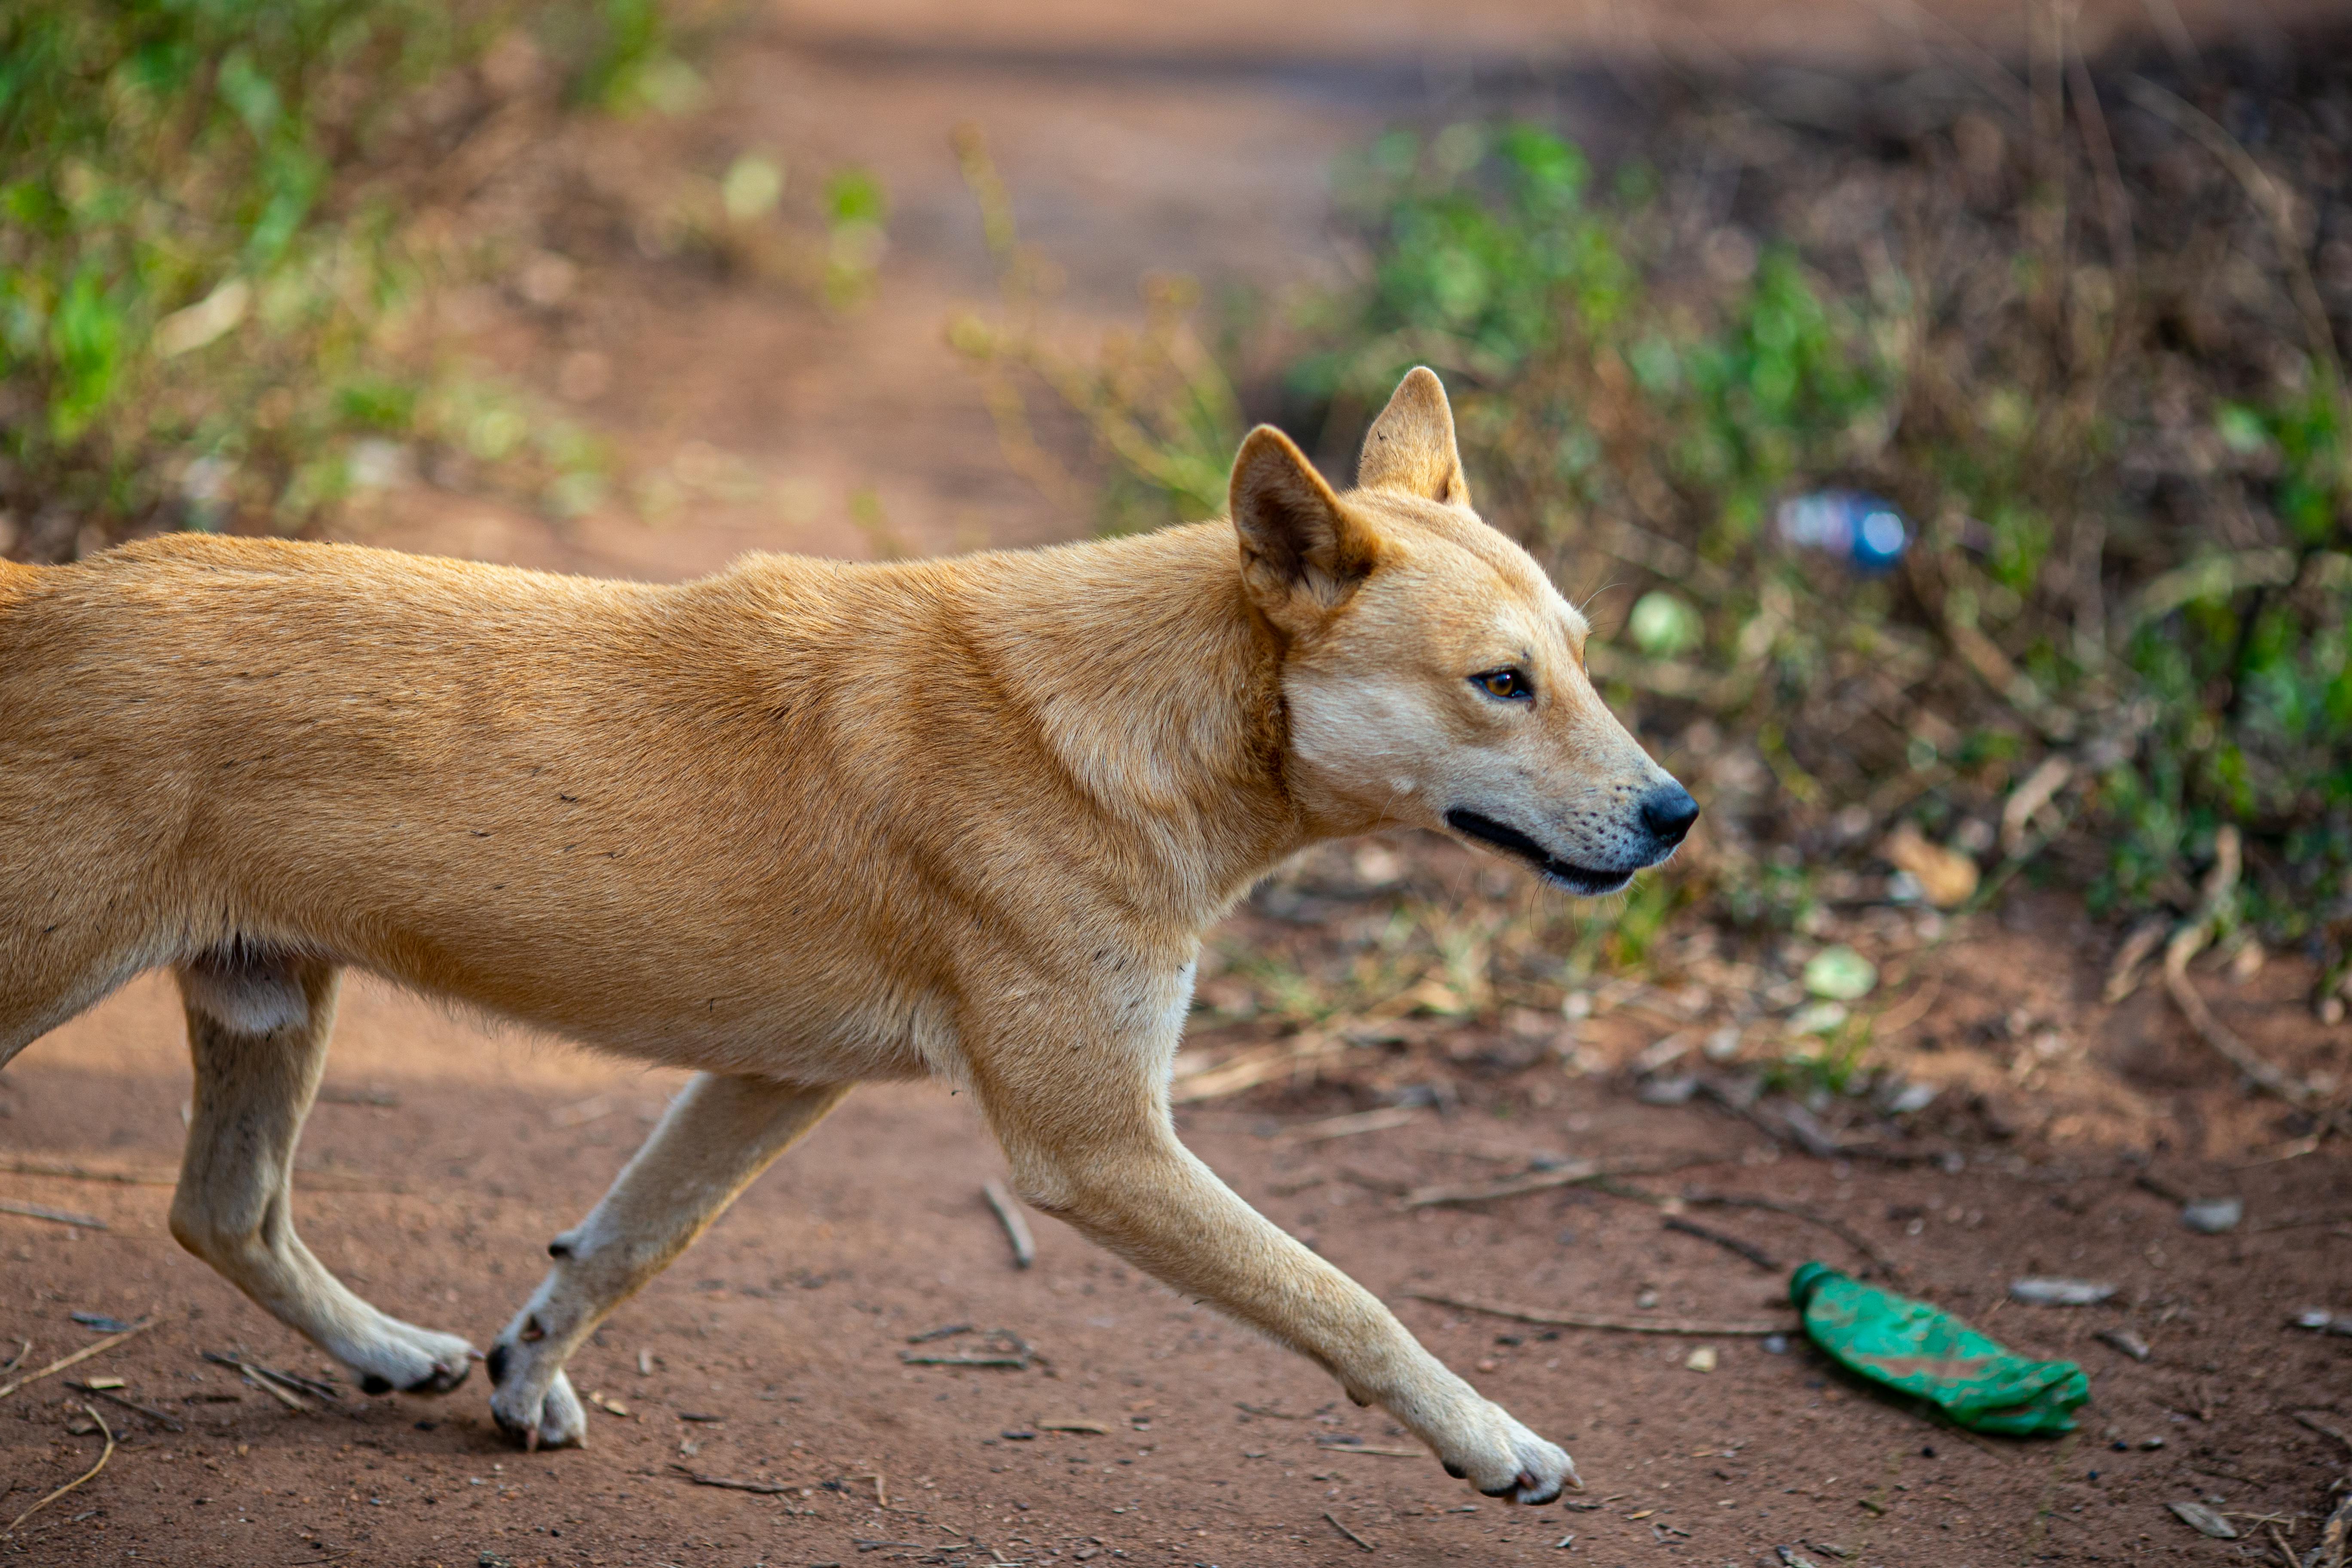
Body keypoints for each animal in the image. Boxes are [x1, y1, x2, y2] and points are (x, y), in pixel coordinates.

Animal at [0, 371, 1693, 1504]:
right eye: (1499, 683)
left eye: (1583, 659)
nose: (1677, 812)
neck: (1139, 718)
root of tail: (44, 593)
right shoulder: (1099, 1148)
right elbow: (1351, 1298)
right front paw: (1495, 1439)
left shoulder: (773, 1078)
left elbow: (623, 1242)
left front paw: (526, 1371)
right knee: (221, 1208)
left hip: (270, 1001)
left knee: (222, 1213)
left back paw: (386, 1345)